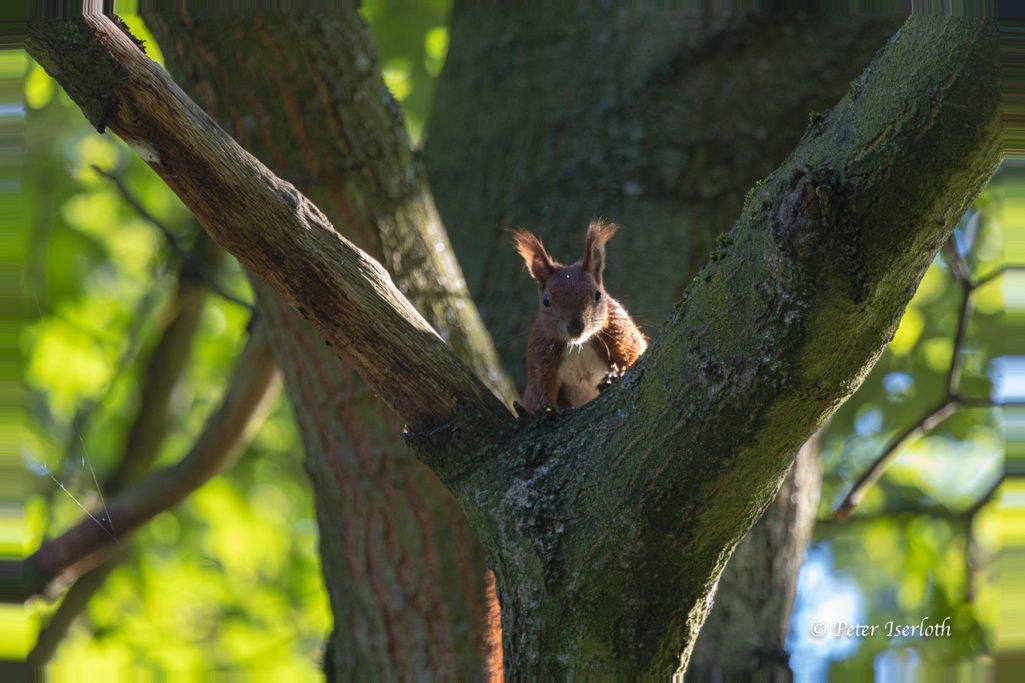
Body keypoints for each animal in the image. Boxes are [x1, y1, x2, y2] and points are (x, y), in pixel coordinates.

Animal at [512, 218, 647, 412]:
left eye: (598, 294)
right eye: (546, 300)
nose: (575, 326)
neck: (578, 346)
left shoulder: (619, 331)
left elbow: (634, 352)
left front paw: (614, 375)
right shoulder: (540, 357)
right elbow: (540, 389)